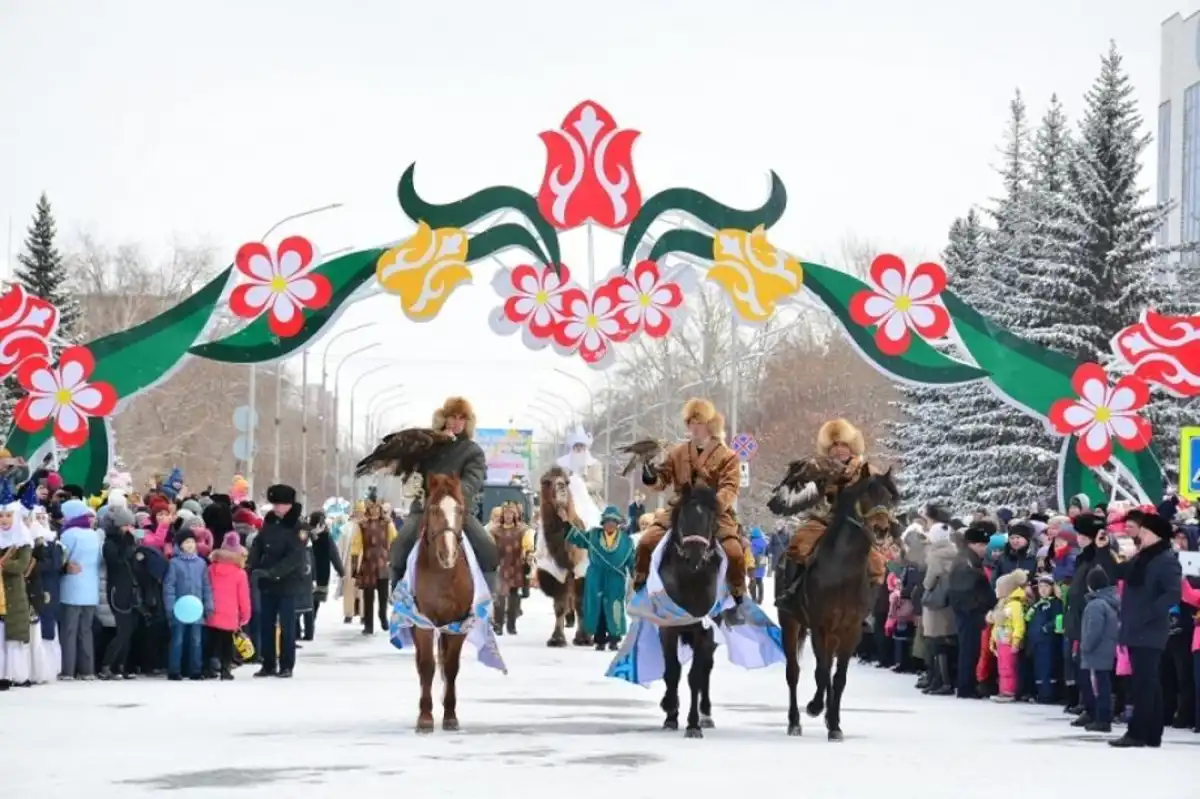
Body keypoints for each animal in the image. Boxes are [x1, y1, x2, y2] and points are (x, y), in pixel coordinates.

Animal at [535, 470, 590, 643]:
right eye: (546, 481)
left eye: (566, 482)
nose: (561, 488)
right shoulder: (554, 573)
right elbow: (559, 606)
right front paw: (556, 638)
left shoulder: (583, 571)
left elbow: (581, 604)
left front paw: (583, 637)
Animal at [772, 463, 897, 739]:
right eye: (867, 495)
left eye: (890, 498)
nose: (882, 530)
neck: (843, 571)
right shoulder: (820, 626)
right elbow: (822, 672)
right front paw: (815, 707)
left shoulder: (850, 631)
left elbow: (838, 678)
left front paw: (835, 724)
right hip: (790, 622)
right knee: (794, 672)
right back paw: (795, 721)